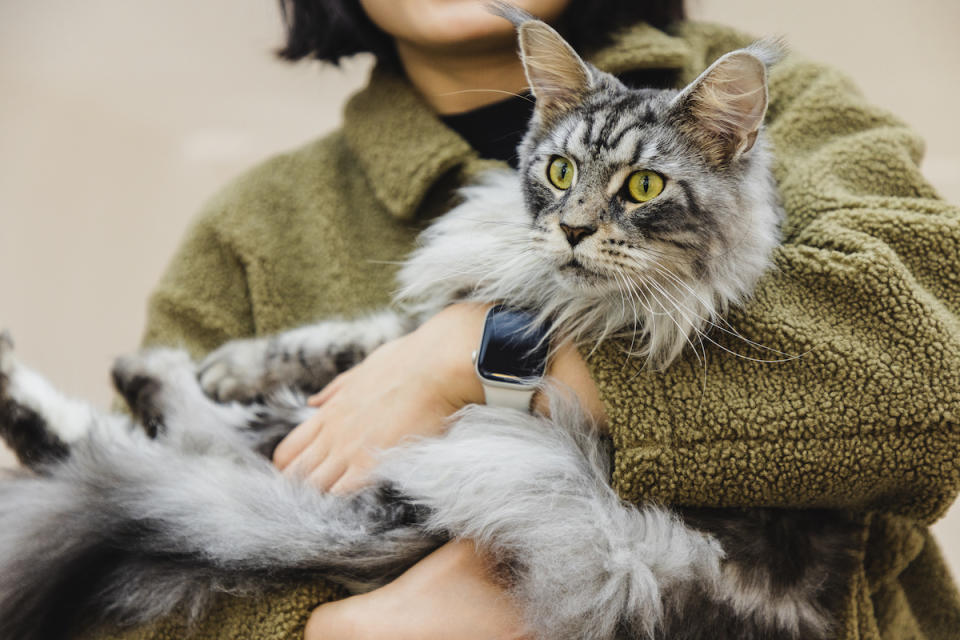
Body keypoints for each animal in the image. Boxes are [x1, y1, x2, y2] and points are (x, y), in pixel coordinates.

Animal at [0, 6, 856, 640]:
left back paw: (122, 376)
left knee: (180, 445)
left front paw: (203, 370)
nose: (574, 229)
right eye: (559, 171)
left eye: (643, 186)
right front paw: (235, 361)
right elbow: (339, 337)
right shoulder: (437, 309)